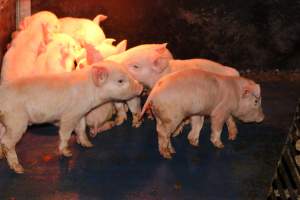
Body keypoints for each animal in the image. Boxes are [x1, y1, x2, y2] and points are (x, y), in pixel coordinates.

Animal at [0, 60, 142, 173]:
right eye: (120, 81)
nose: (140, 88)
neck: (91, 91)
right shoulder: (70, 114)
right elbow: (65, 133)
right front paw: (68, 153)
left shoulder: (81, 113)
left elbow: (81, 129)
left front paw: (88, 144)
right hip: (16, 121)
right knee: (7, 142)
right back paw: (19, 169)